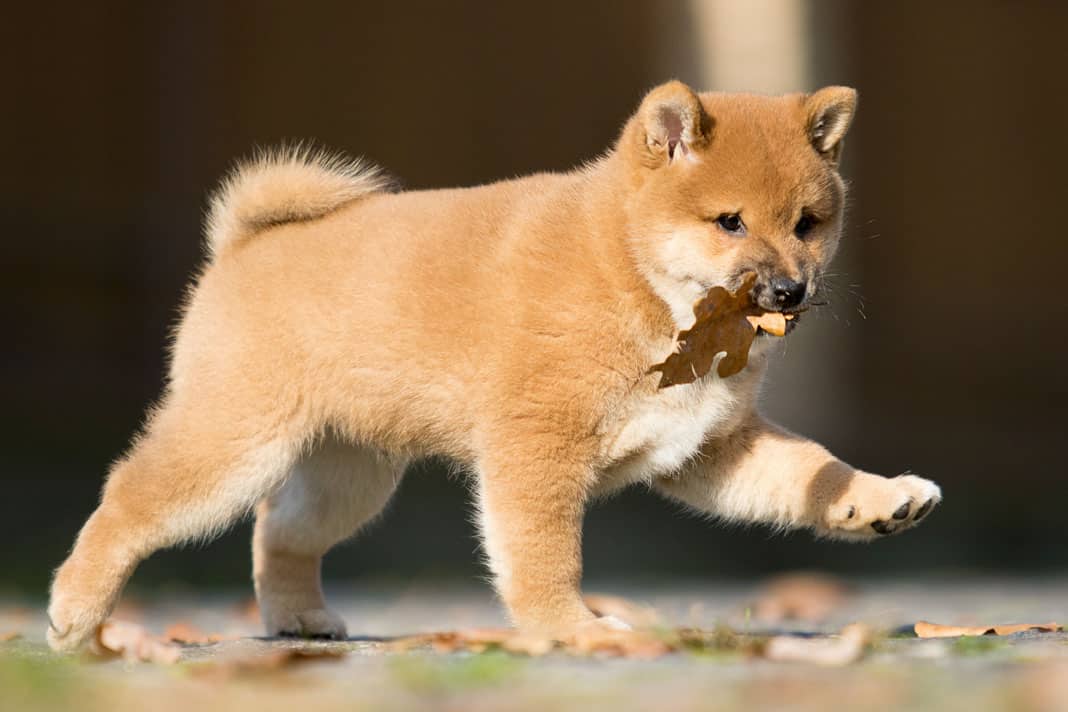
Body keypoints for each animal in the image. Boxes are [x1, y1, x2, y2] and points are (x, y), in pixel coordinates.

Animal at [45, 79, 939, 653]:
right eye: (729, 222)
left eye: (808, 223)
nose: (791, 290)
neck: (635, 278)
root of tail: (242, 244)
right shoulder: (537, 445)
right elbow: (545, 554)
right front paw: (571, 631)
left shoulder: (709, 446)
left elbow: (810, 470)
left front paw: (880, 500)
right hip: (232, 446)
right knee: (127, 501)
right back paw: (74, 614)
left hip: (348, 477)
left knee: (280, 534)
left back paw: (298, 620)